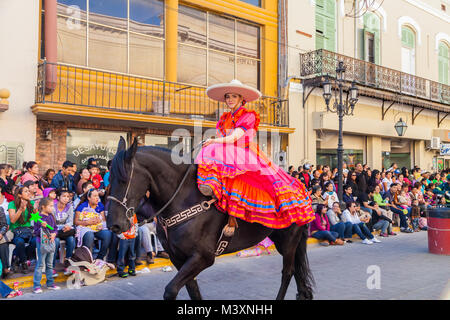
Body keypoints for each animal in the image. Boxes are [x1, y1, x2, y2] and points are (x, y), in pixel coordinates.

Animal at [107, 138, 314, 300]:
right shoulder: (179, 258)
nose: (113, 224)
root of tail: (301, 186)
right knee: (296, 270)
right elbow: (193, 291)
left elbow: (170, 290)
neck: (184, 199)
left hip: (288, 241)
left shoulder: (203, 257)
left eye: (124, 179)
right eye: (110, 178)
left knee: (288, 272)